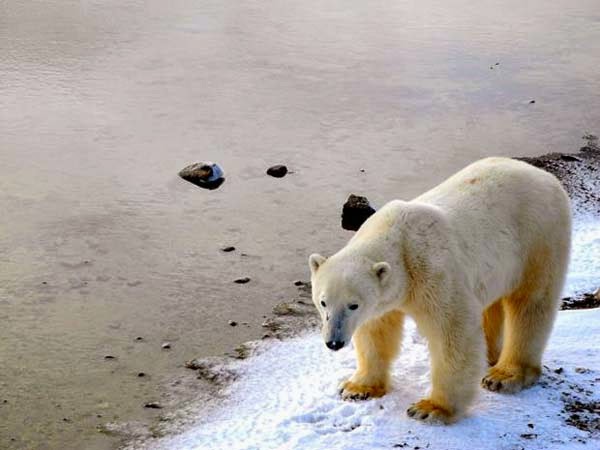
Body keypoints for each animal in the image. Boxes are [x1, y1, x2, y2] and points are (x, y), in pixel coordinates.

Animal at [310, 157, 572, 422]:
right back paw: (489, 355)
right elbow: (376, 331)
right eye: (323, 302)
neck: (398, 237)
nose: (334, 342)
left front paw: (431, 408)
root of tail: (543, 175)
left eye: (353, 305)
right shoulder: (387, 295)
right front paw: (356, 388)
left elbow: (452, 331)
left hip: (539, 236)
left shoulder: (430, 270)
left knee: (531, 303)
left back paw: (505, 375)